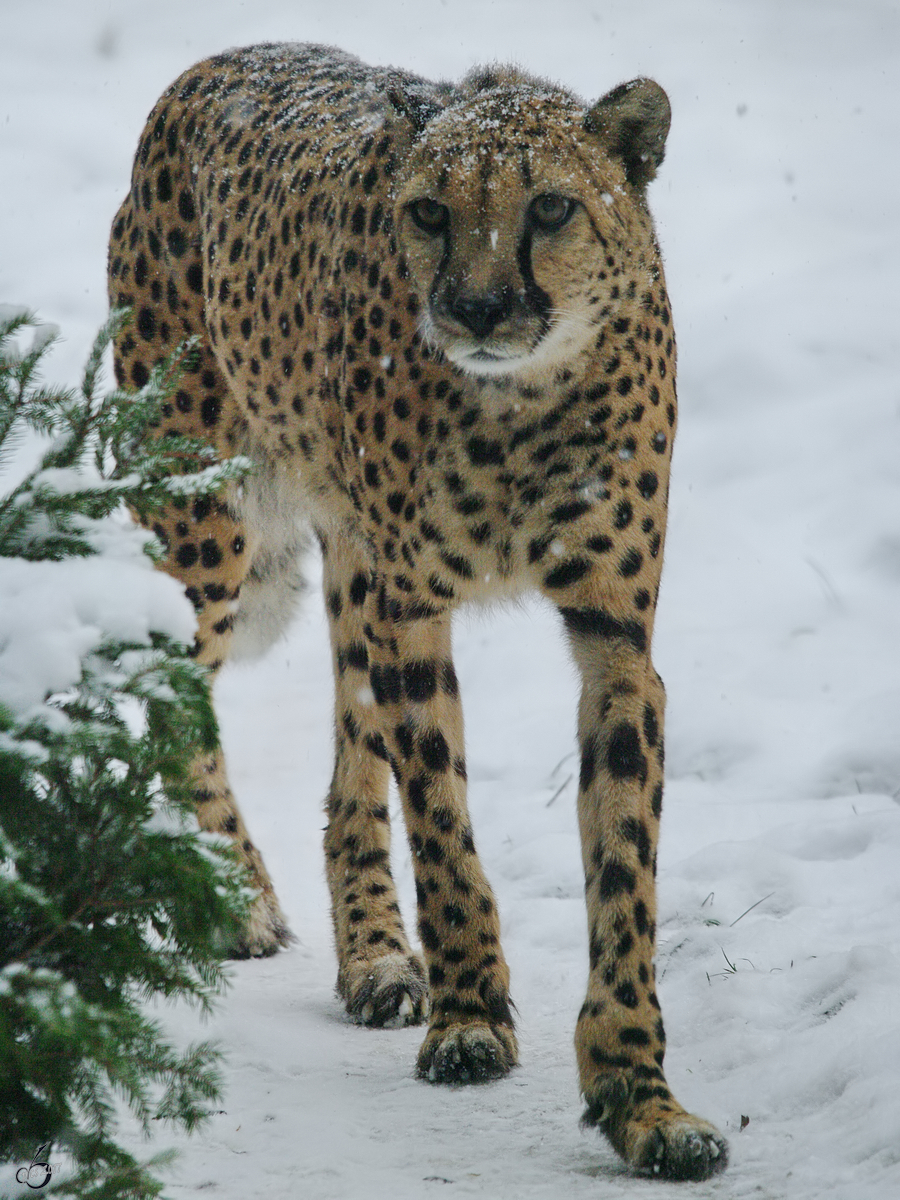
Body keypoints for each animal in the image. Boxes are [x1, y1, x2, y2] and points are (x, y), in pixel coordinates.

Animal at [109, 44, 729, 1180]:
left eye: (552, 207)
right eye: (432, 212)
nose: (478, 310)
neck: (522, 401)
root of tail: (218, 61)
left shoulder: (616, 643)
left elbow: (624, 869)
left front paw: (640, 1095)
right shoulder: (415, 612)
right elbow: (442, 822)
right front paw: (473, 1015)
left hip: (350, 570)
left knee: (350, 771)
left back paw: (376, 956)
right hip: (212, 534)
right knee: (175, 688)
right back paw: (242, 897)